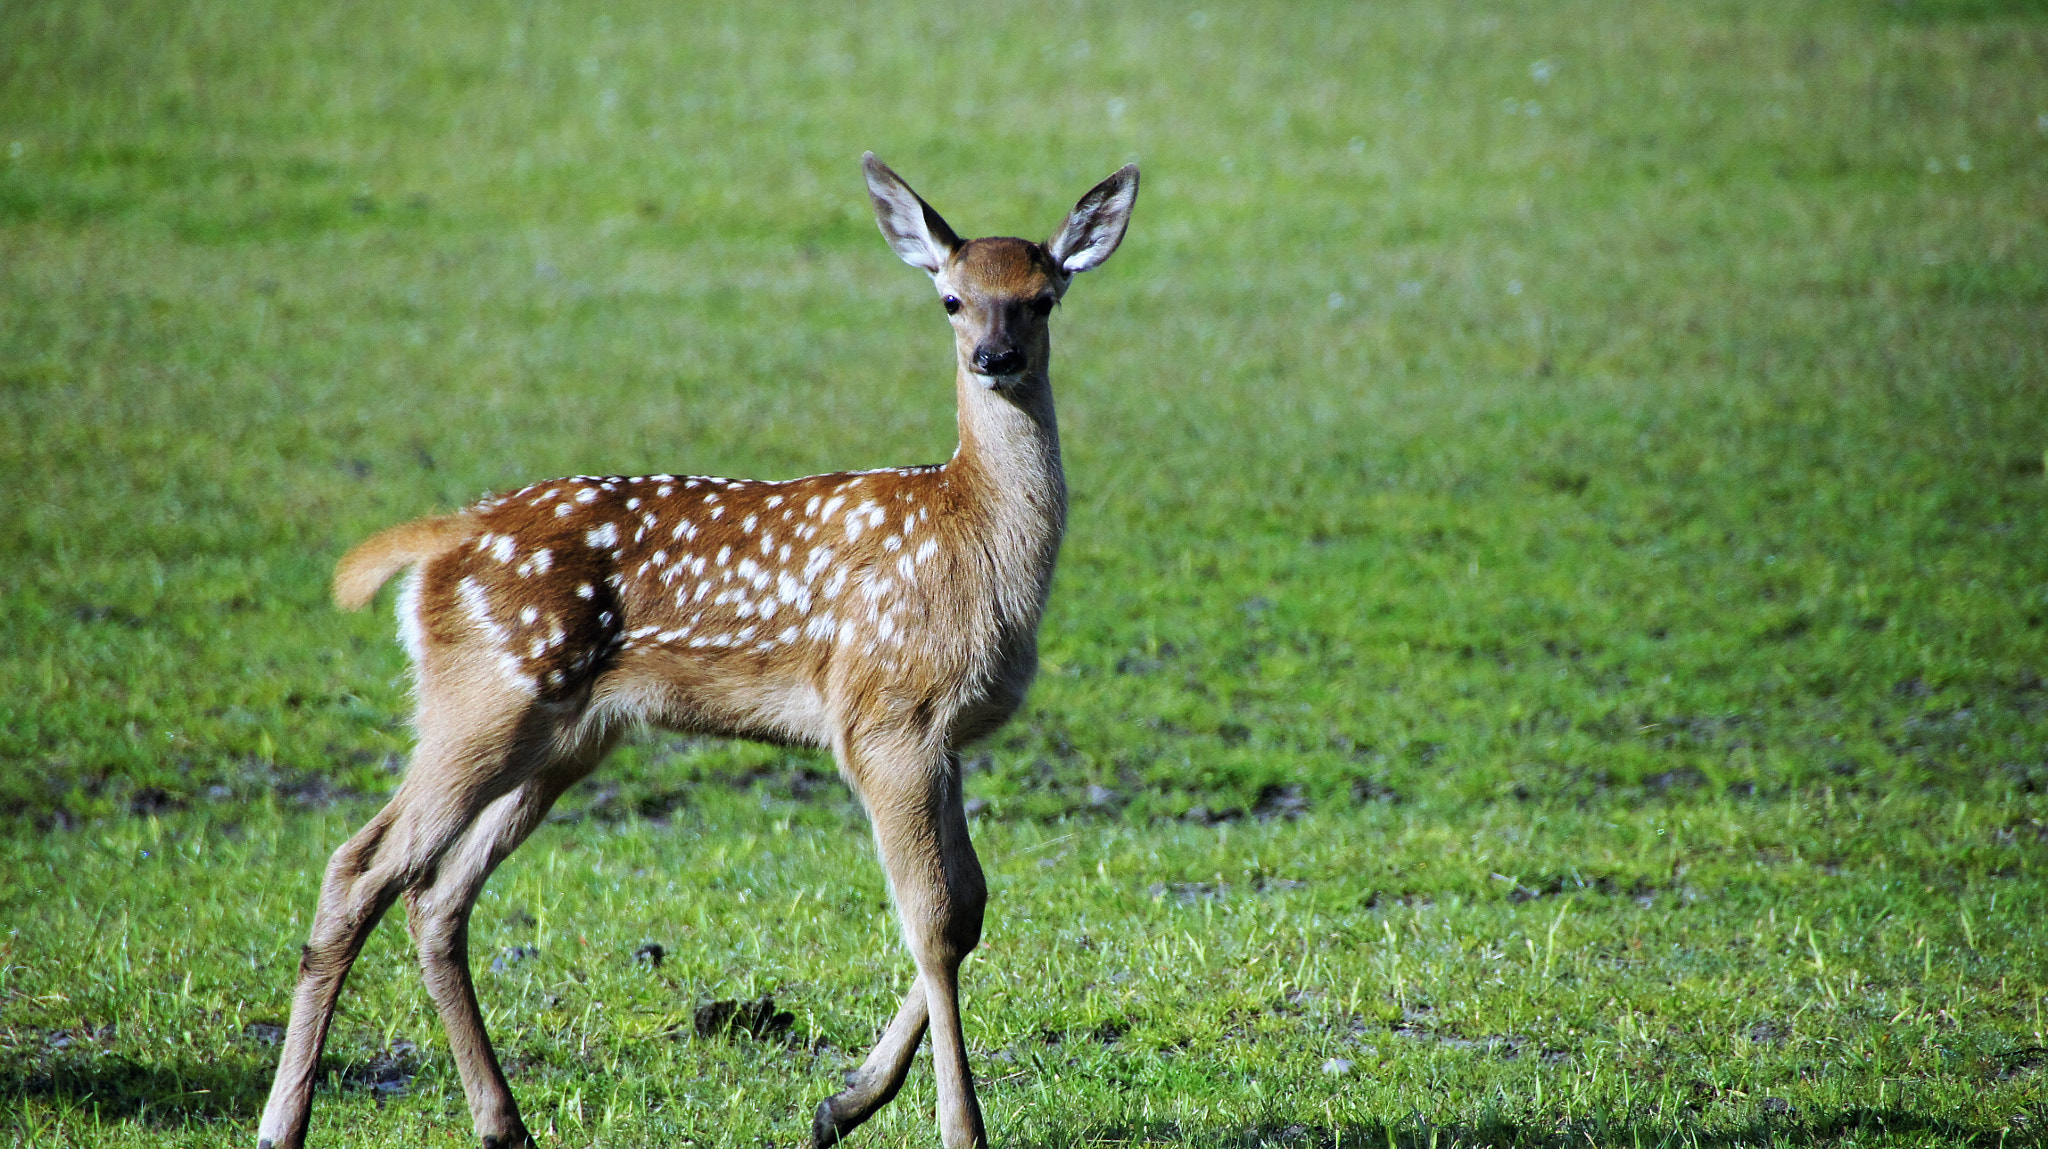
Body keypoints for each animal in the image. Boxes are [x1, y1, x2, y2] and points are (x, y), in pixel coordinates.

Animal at [255, 154, 1138, 1149]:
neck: (978, 543)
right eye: (951, 297)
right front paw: (955, 1126)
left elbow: (972, 905)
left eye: (1042, 298)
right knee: (360, 867)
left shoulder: (937, 734)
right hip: (487, 696)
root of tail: (441, 540)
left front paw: (843, 1101)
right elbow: (935, 919)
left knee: (437, 894)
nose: (995, 358)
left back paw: (502, 1122)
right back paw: (284, 1122)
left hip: (565, 735)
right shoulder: (885, 713)